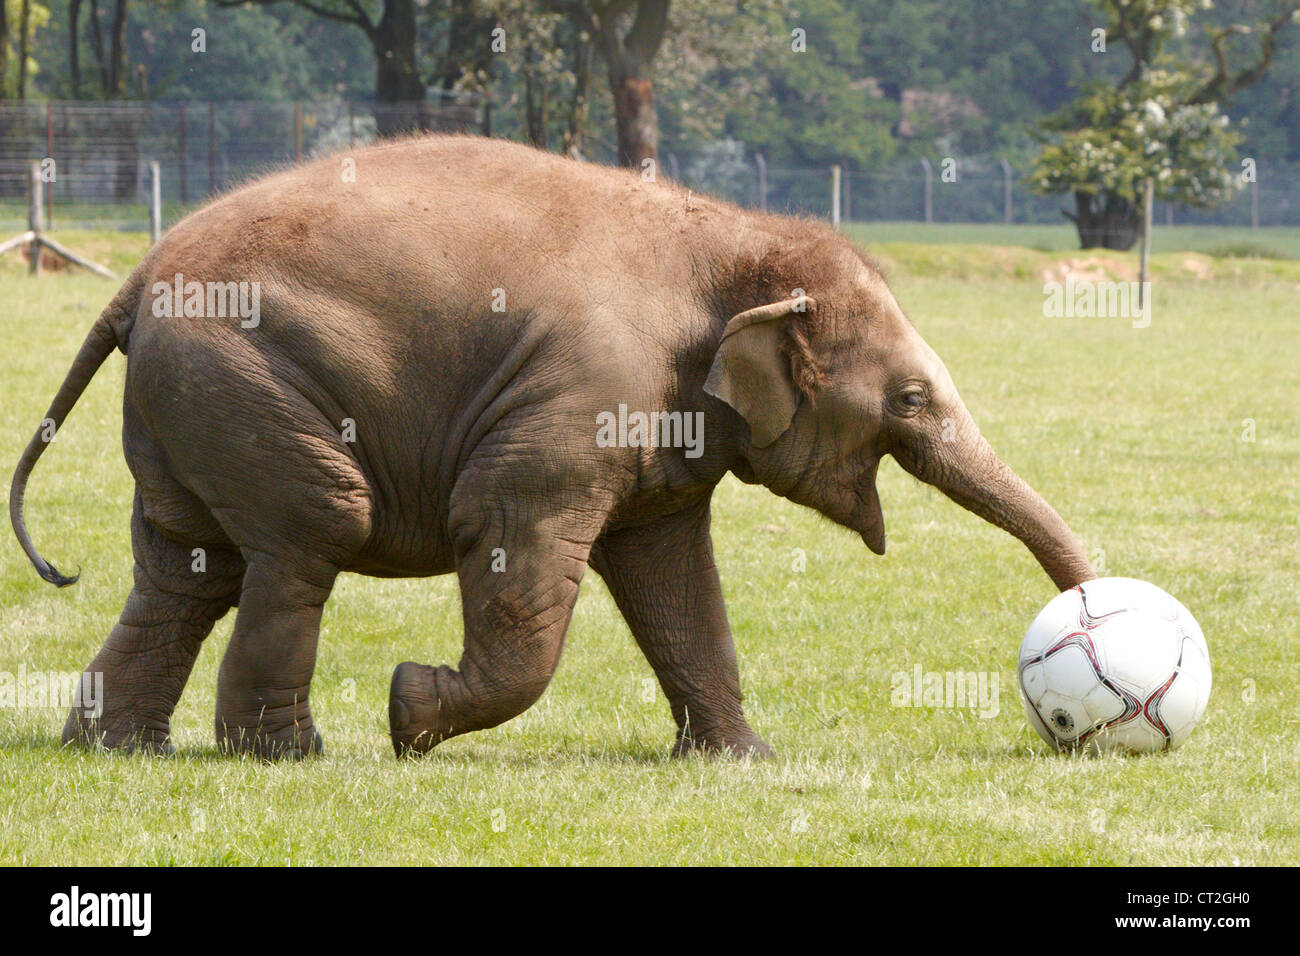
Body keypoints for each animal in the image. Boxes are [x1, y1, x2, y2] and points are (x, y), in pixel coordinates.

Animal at [10, 134, 1092, 764]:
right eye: (909, 398)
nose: (1088, 614)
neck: (733, 243)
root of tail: (135, 280)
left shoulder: (654, 423)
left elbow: (670, 569)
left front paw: (740, 762)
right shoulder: (579, 399)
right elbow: (507, 530)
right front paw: (408, 715)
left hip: (191, 405)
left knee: (185, 567)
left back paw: (117, 751)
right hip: (238, 381)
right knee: (311, 528)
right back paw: (284, 755)